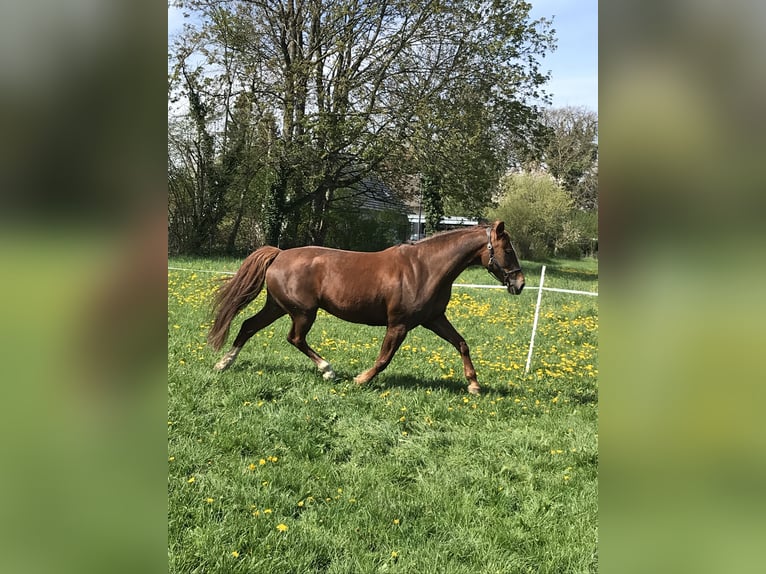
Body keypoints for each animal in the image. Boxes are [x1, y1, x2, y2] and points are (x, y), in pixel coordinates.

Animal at [207, 222, 524, 396]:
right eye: (508, 250)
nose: (519, 284)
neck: (425, 268)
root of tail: (279, 254)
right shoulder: (399, 324)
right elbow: (384, 358)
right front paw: (360, 380)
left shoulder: (434, 318)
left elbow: (462, 344)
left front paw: (474, 385)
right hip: (303, 312)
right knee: (294, 338)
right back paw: (328, 370)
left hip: (278, 307)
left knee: (248, 325)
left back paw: (224, 363)